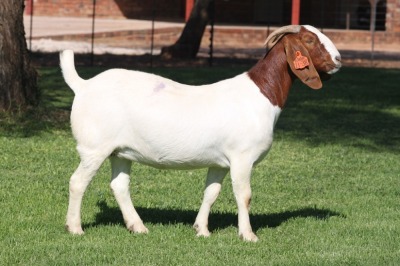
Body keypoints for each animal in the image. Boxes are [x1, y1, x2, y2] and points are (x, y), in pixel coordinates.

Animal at [61, 24, 342, 241]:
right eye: (309, 40)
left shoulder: (220, 161)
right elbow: (244, 195)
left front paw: (202, 230)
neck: (260, 94)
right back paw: (75, 228)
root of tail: (83, 86)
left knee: (119, 185)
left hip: (120, 151)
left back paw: (138, 227)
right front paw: (248, 235)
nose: (339, 59)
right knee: (77, 182)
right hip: (94, 147)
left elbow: (211, 193)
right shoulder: (242, 158)